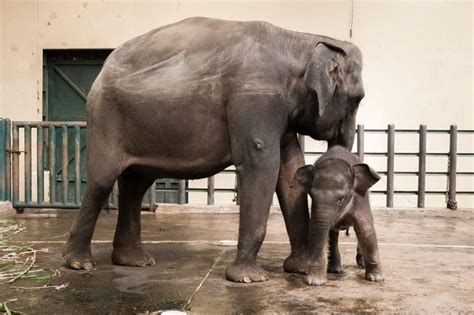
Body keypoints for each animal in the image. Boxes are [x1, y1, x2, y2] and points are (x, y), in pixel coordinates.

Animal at [63, 17, 364, 284]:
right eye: (357, 99)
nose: (345, 268)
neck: (300, 41)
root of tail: (103, 67)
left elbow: (290, 171)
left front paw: (297, 269)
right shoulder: (255, 100)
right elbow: (261, 166)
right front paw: (249, 279)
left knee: (135, 185)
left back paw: (134, 261)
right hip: (105, 118)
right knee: (102, 182)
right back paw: (79, 264)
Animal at [294, 146, 384, 286]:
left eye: (341, 199)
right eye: (312, 196)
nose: (312, 280)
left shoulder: (361, 199)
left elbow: (365, 229)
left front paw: (376, 278)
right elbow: (317, 230)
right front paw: (315, 282)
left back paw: (361, 264)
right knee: (333, 235)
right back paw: (335, 270)